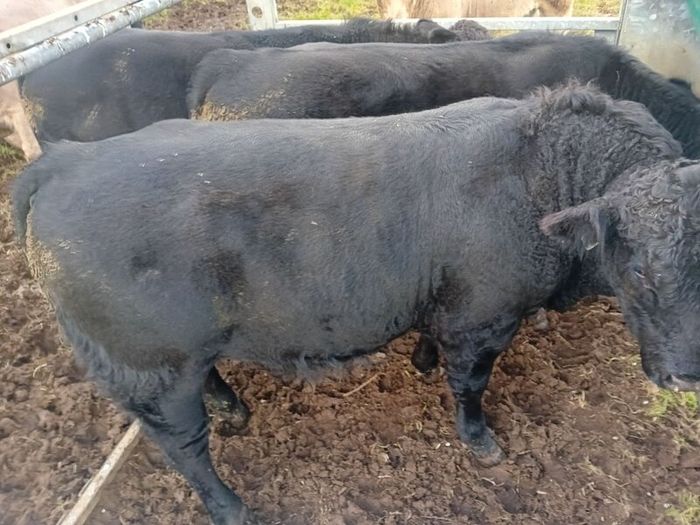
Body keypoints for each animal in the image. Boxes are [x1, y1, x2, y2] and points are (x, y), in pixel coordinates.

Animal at [13, 84, 700, 524]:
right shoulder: (484, 318)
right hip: (147, 366)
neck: (536, 176)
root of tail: (65, 160)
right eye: (639, 268)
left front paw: (422, 361)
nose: (685, 377)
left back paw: (235, 410)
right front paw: (480, 442)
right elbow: (470, 386)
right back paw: (234, 508)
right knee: (185, 450)